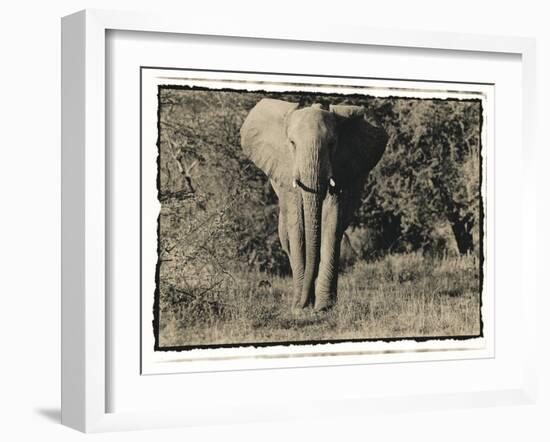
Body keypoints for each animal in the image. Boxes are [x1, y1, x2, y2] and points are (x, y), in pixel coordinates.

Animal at [242, 98, 388, 310]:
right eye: (292, 143)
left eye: (332, 144)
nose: (304, 304)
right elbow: (297, 225)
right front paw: (300, 306)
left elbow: (332, 218)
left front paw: (323, 307)